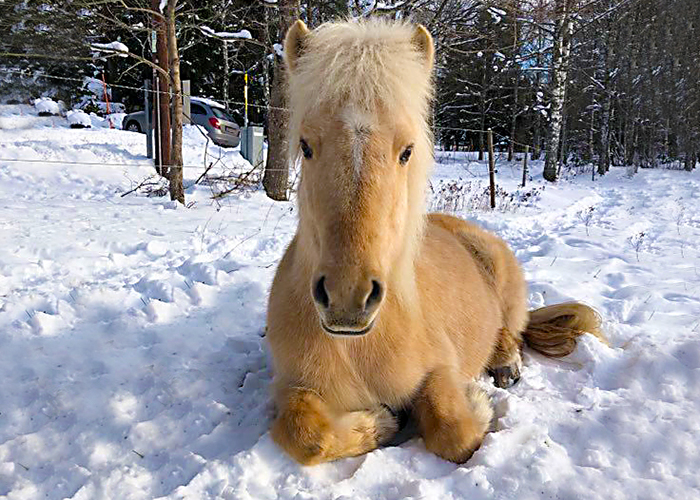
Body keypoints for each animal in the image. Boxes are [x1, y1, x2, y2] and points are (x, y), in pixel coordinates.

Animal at [266, 18, 604, 464]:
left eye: (407, 151)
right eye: (305, 145)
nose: (347, 298)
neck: (359, 346)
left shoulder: (439, 369)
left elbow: (452, 430)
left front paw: (477, 403)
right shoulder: (292, 385)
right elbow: (305, 434)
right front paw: (378, 423)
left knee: (511, 329)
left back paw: (506, 365)